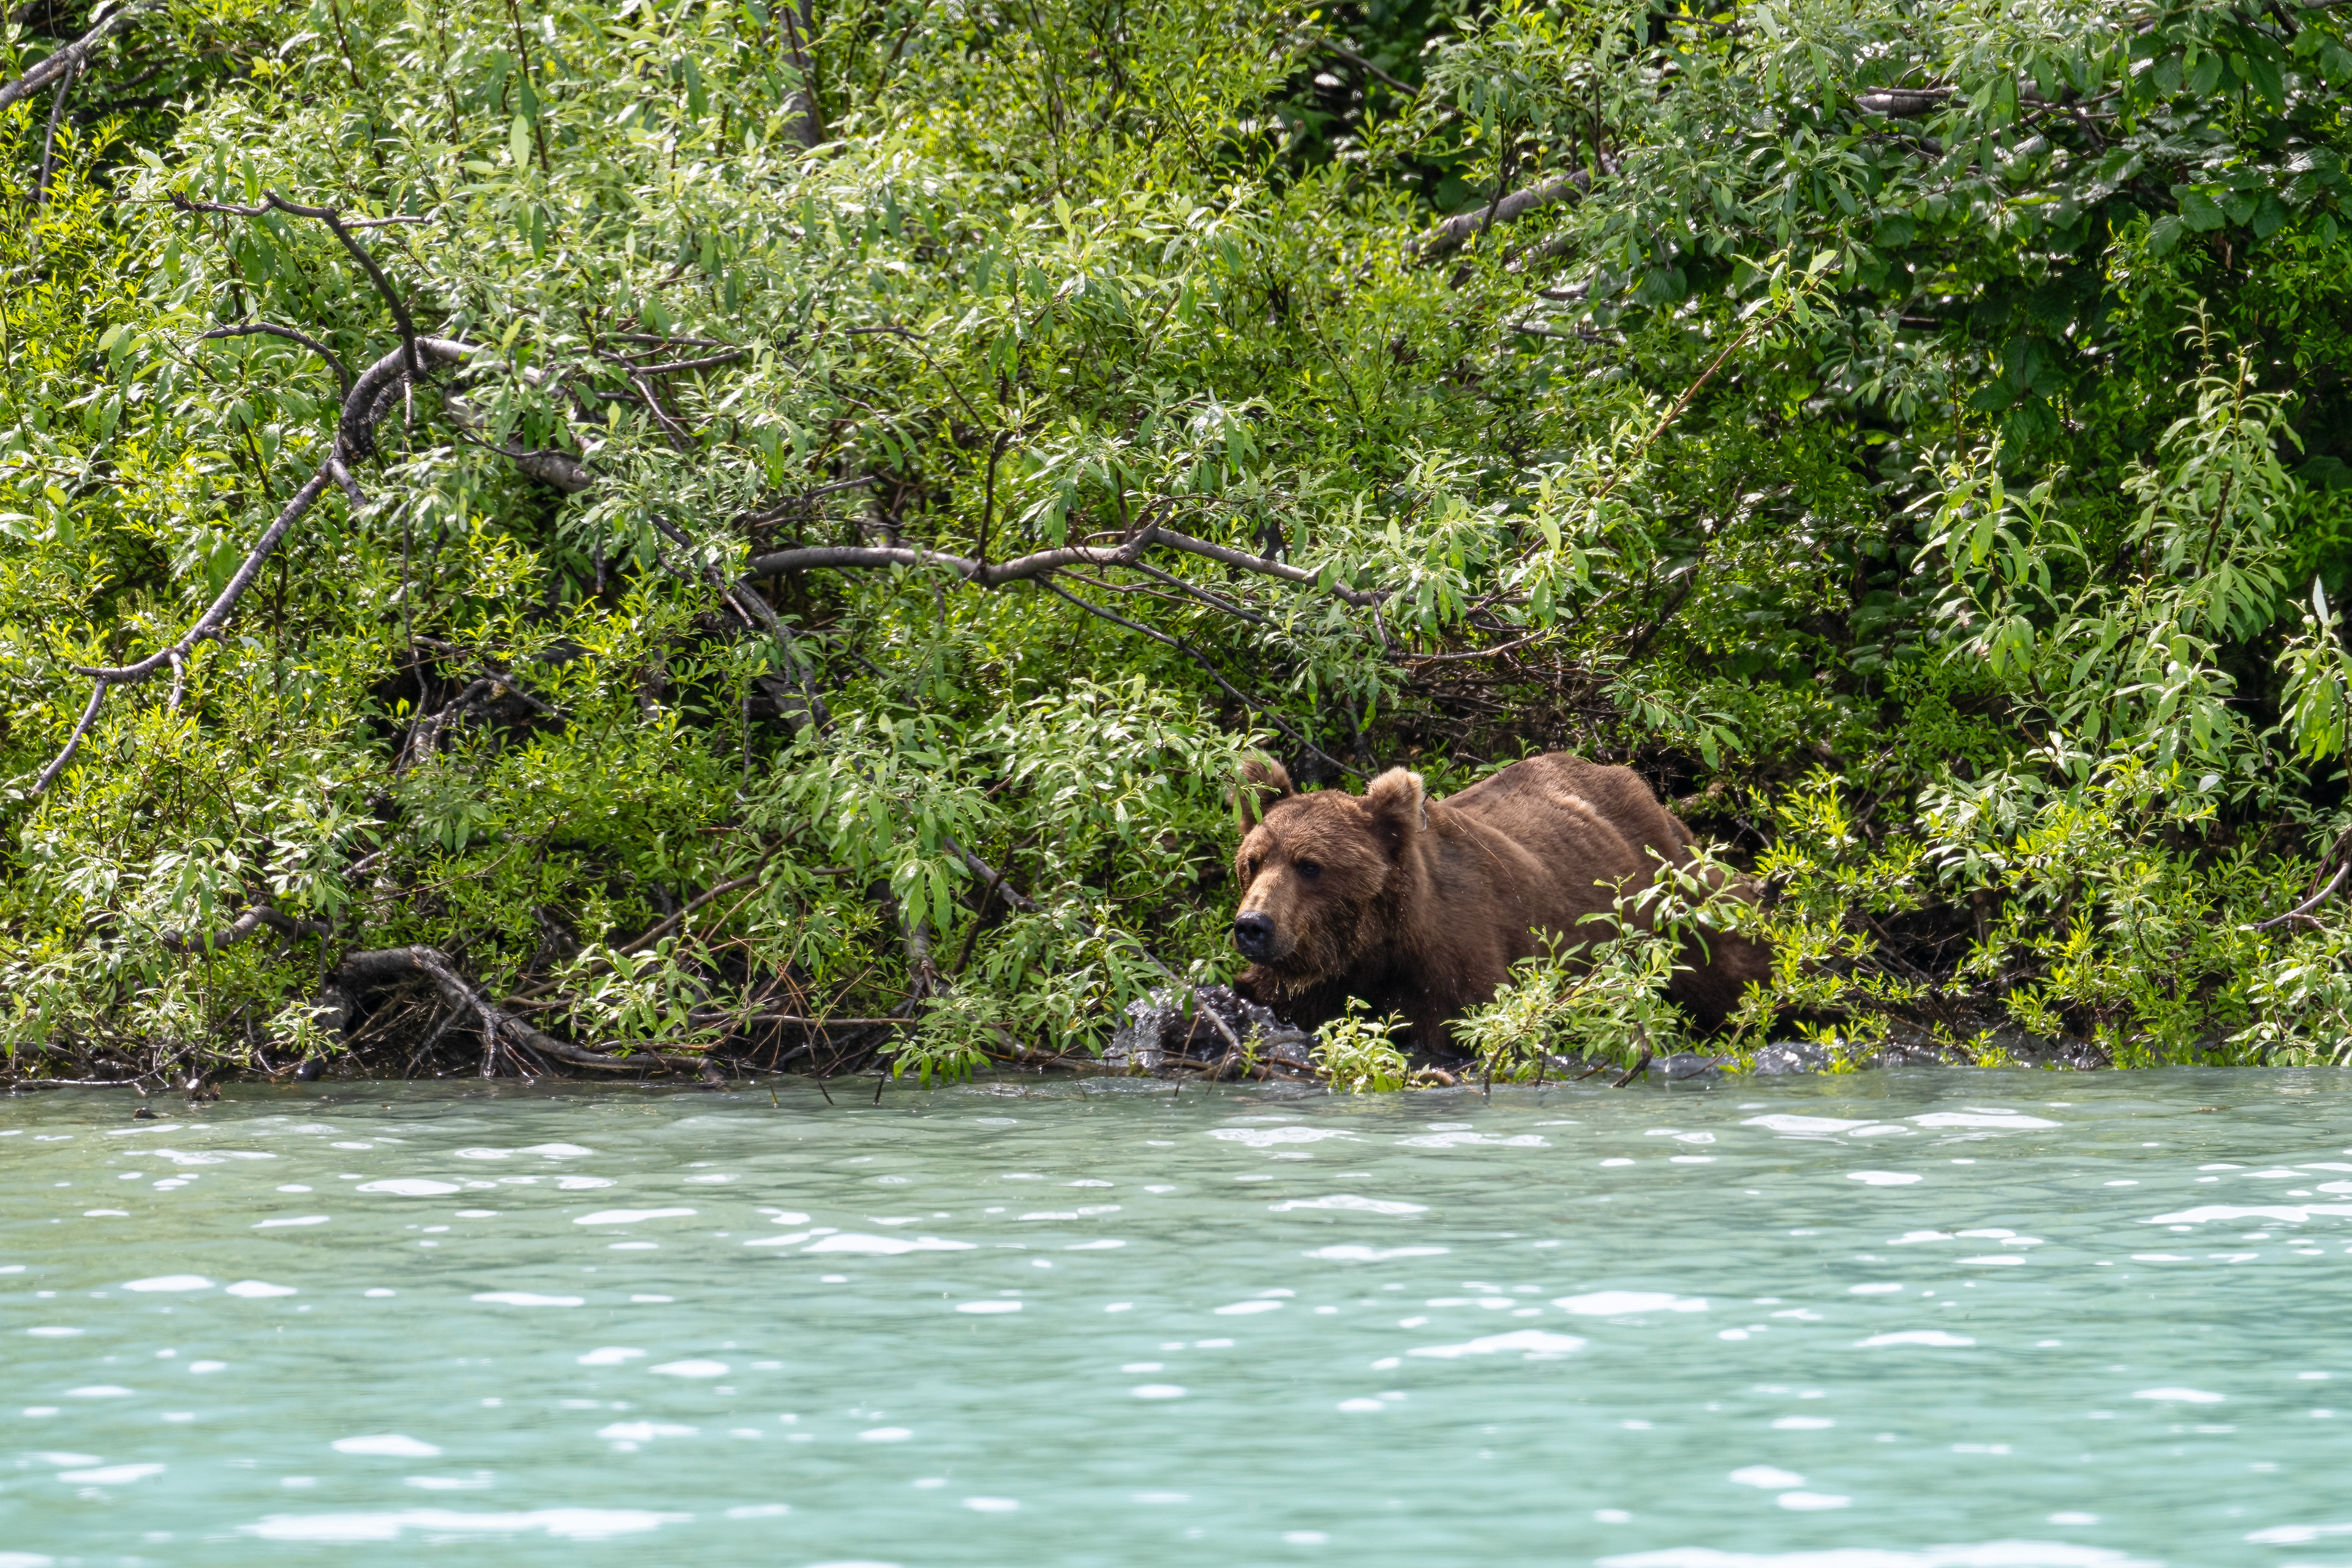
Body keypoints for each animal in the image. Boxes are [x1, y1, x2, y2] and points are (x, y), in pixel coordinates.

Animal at [1228, 753, 1771, 1053]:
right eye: (1253, 861)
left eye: (1310, 866)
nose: (1253, 925)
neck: (1372, 945)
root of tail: (1644, 789)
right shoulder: (1312, 985)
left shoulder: (1453, 959)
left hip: (1676, 898)